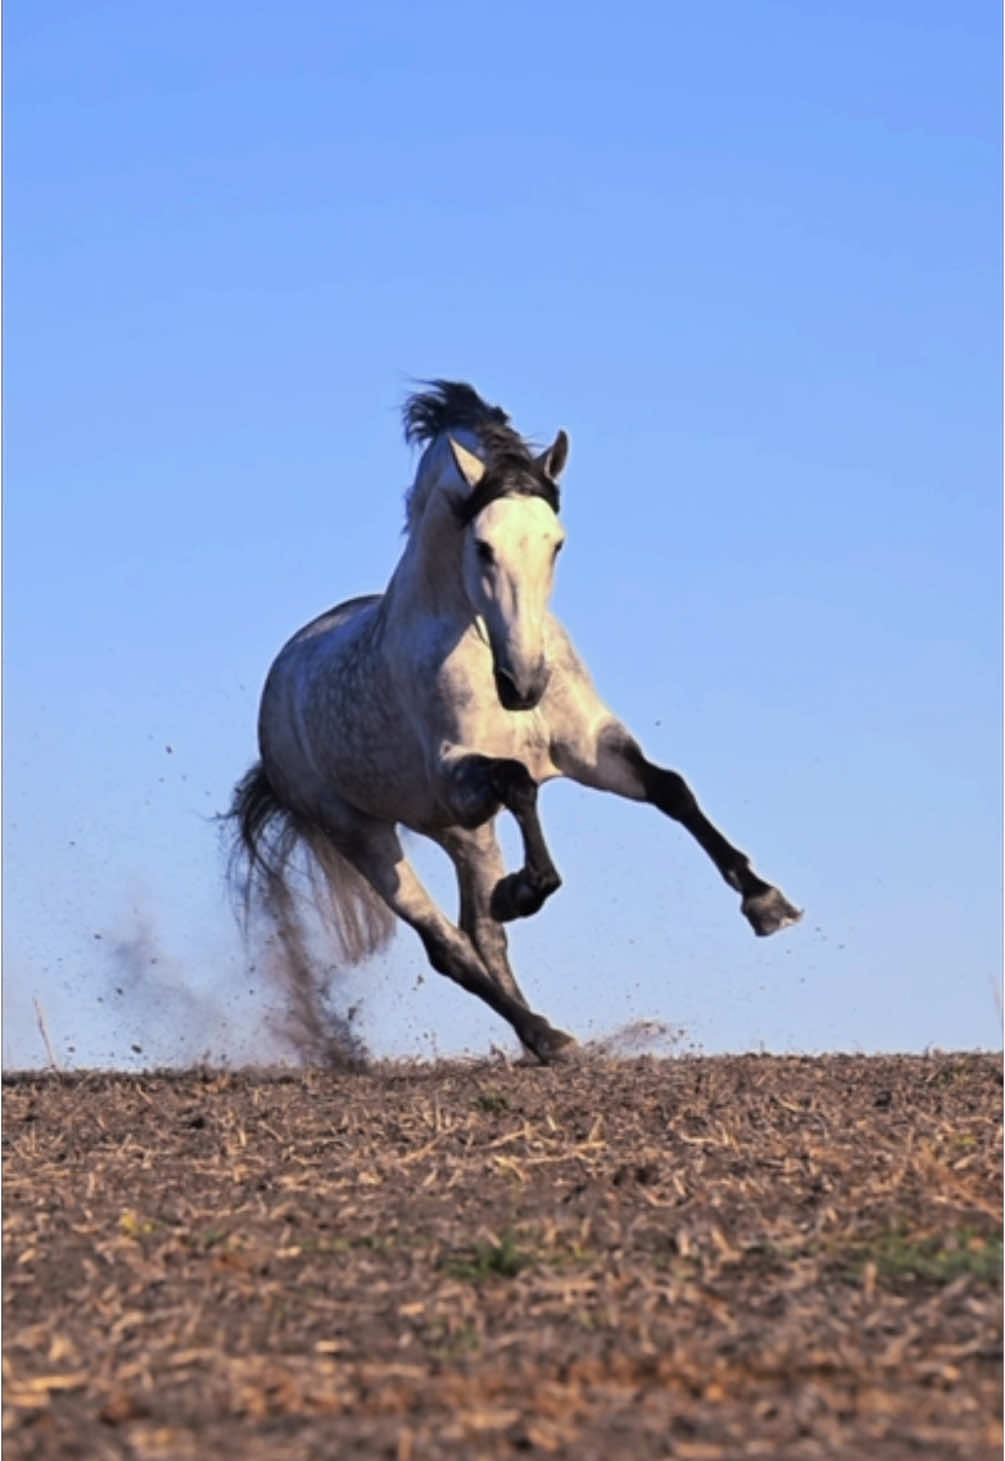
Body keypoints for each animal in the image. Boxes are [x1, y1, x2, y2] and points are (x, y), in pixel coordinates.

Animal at [229, 376, 800, 1063]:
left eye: (556, 542)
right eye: (482, 545)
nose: (524, 684)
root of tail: (281, 679)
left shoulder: (590, 749)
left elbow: (671, 789)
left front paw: (765, 901)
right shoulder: (456, 771)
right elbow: (523, 787)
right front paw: (524, 890)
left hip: (462, 833)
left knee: (482, 934)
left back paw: (543, 1033)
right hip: (363, 833)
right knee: (447, 945)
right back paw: (544, 1032)